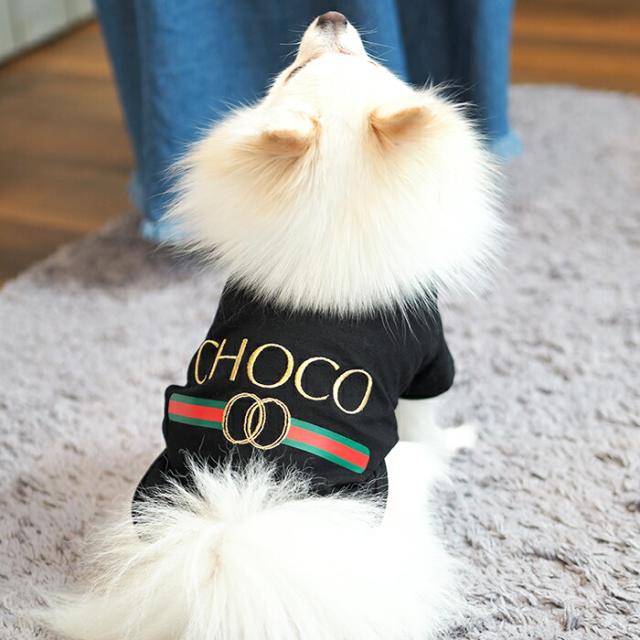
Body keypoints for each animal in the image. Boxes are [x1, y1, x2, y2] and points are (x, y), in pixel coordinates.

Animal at [44, 11, 501, 640]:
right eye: (294, 70)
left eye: (364, 61)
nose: (332, 15)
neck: (333, 216)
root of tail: (247, 520)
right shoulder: (430, 360)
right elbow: (430, 424)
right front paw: (460, 437)